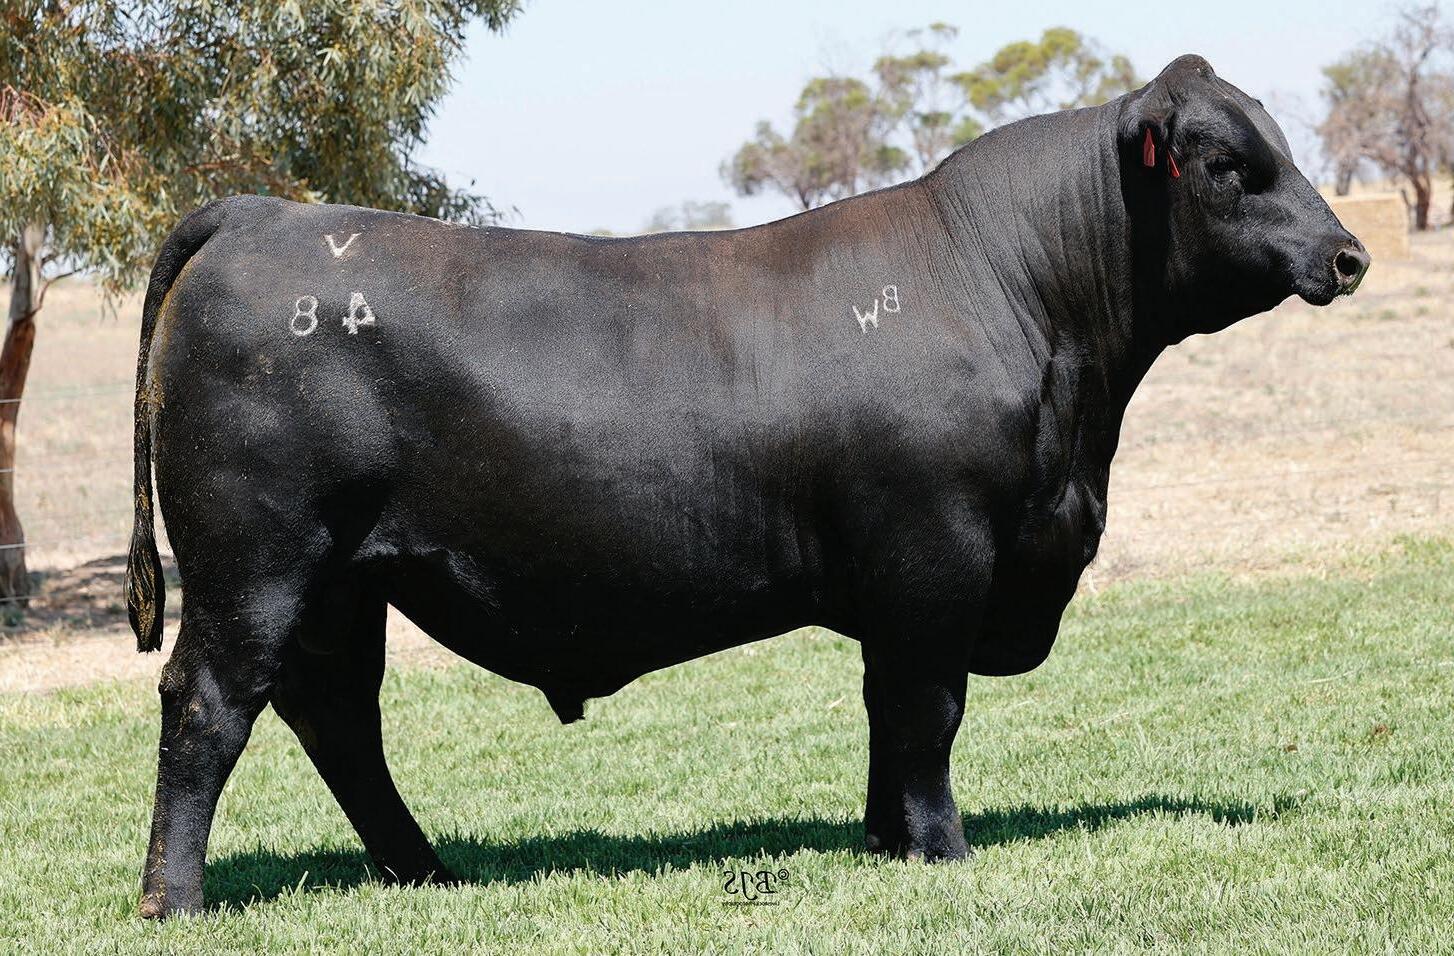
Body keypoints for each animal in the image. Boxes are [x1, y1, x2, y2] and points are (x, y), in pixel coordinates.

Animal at [127, 55, 1368, 918]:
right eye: (1227, 165)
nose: (1347, 253)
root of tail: (262, 212)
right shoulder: (935, 555)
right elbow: (926, 710)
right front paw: (941, 847)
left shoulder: (901, 583)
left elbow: (883, 711)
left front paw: (882, 839)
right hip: (257, 557)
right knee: (211, 702)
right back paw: (174, 898)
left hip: (347, 579)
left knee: (336, 714)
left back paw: (426, 871)